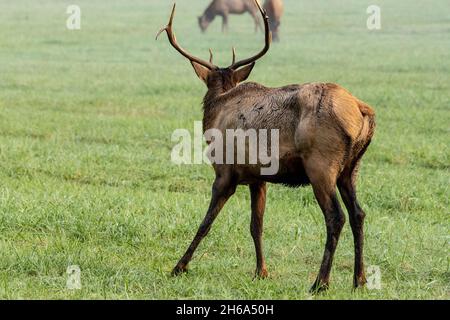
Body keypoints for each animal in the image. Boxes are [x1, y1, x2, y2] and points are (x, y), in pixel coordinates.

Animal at [156, 0, 374, 292]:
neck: (216, 111)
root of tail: (362, 111)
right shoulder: (258, 178)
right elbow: (256, 225)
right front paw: (261, 271)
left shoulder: (225, 172)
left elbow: (206, 223)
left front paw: (179, 266)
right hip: (351, 168)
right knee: (358, 214)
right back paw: (359, 279)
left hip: (321, 165)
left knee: (335, 216)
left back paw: (320, 282)